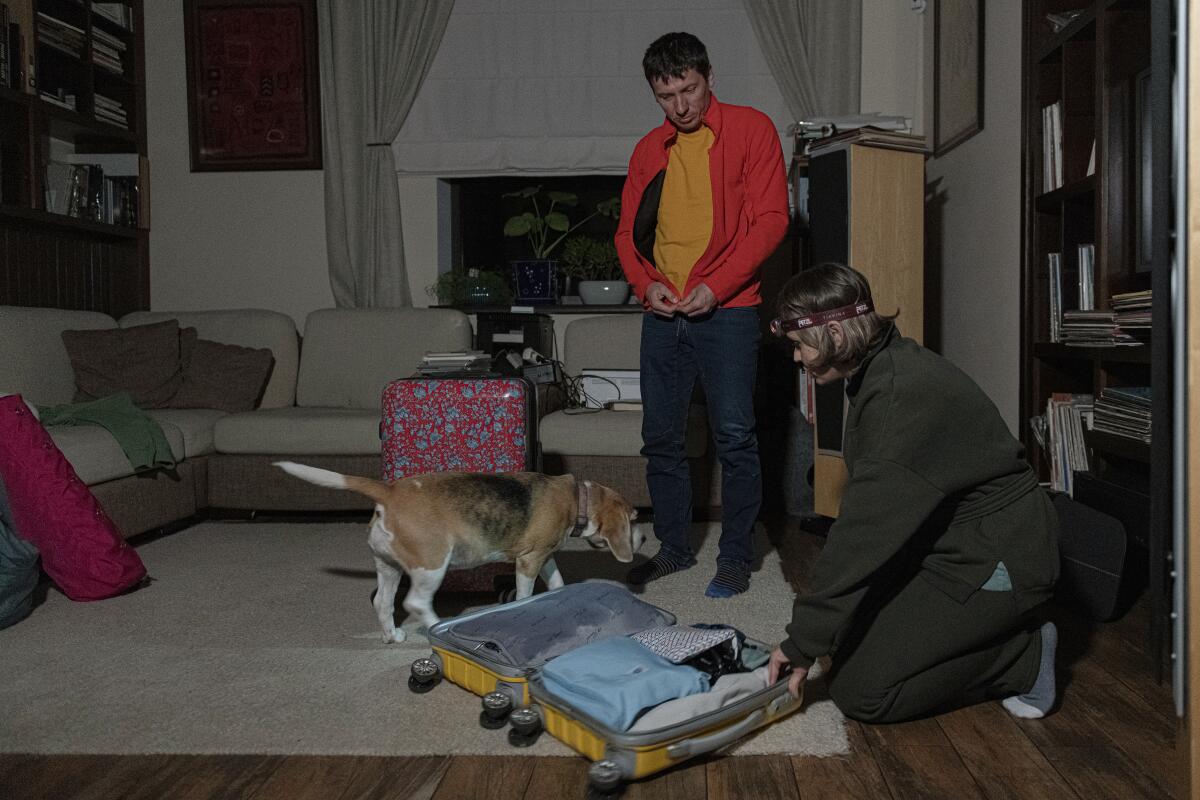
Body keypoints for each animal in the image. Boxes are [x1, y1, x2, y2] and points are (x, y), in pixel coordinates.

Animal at [274, 462, 648, 642]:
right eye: (633, 520)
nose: (644, 539)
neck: (576, 499)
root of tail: (390, 491)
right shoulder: (528, 560)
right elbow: (526, 592)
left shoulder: (544, 555)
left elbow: (556, 583)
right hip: (431, 565)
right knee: (415, 603)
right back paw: (437, 627)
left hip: (388, 565)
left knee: (382, 602)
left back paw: (392, 636)